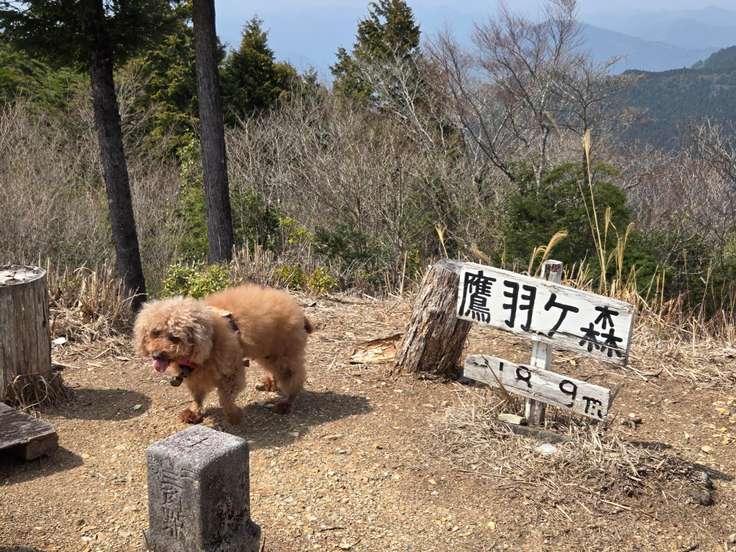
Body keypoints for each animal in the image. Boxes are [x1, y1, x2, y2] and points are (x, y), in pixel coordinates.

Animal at [133, 284, 313, 424]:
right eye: (155, 333)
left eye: (174, 337)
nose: (157, 355)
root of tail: (297, 309)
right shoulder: (194, 376)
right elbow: (197, 396)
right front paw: (194, 412)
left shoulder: (231, 372)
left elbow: (225, 399)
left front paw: (234, 416)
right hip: (268, 352)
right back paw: (270, 384)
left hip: (284, 355)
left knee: (294, 377)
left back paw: (287, 402)